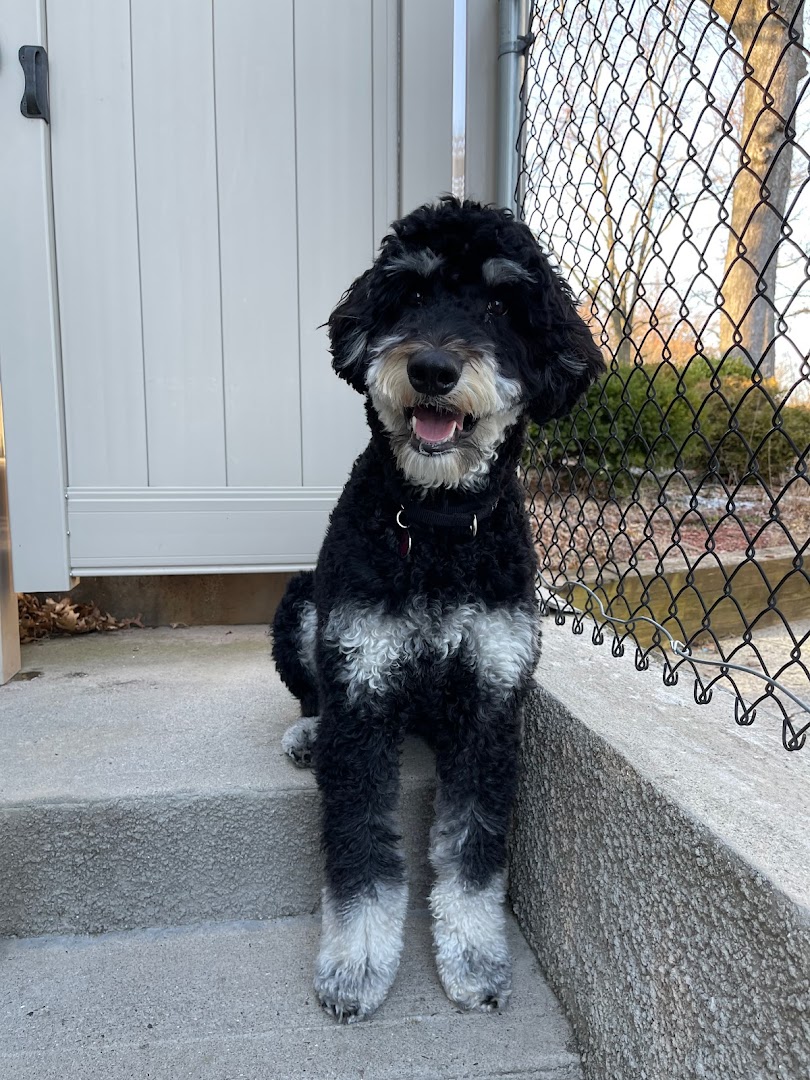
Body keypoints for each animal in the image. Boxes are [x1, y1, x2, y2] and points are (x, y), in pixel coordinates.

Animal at [274, 196, 609, 1019]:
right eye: (414, 292)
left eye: (499, 304)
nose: (431, 368)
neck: (438, 528)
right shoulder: (362, 686)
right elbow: (360, 848)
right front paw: (355, 967)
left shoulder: (490, 702)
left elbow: (473, 852)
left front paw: (476, 961)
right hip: (304, 607)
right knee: (312, 691)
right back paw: (307, 731)